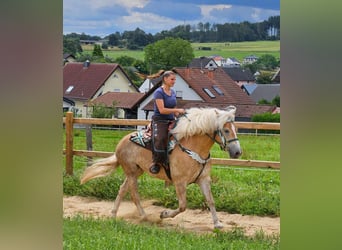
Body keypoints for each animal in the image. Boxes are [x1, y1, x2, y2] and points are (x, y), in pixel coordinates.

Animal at [80, 105, 242, 229]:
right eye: (226, 130)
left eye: (236, 129)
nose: (237, 152)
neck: (193, 147)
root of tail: (121, 143)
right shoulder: (179, 182)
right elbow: (183, 206)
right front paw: (163, 214)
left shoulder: (203, 179)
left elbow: (210, 201)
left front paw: (217, 223)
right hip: (131, 172)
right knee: (134, 194)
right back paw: (145, 217)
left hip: (136, 171)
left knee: (122, 189)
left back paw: (113, 214)